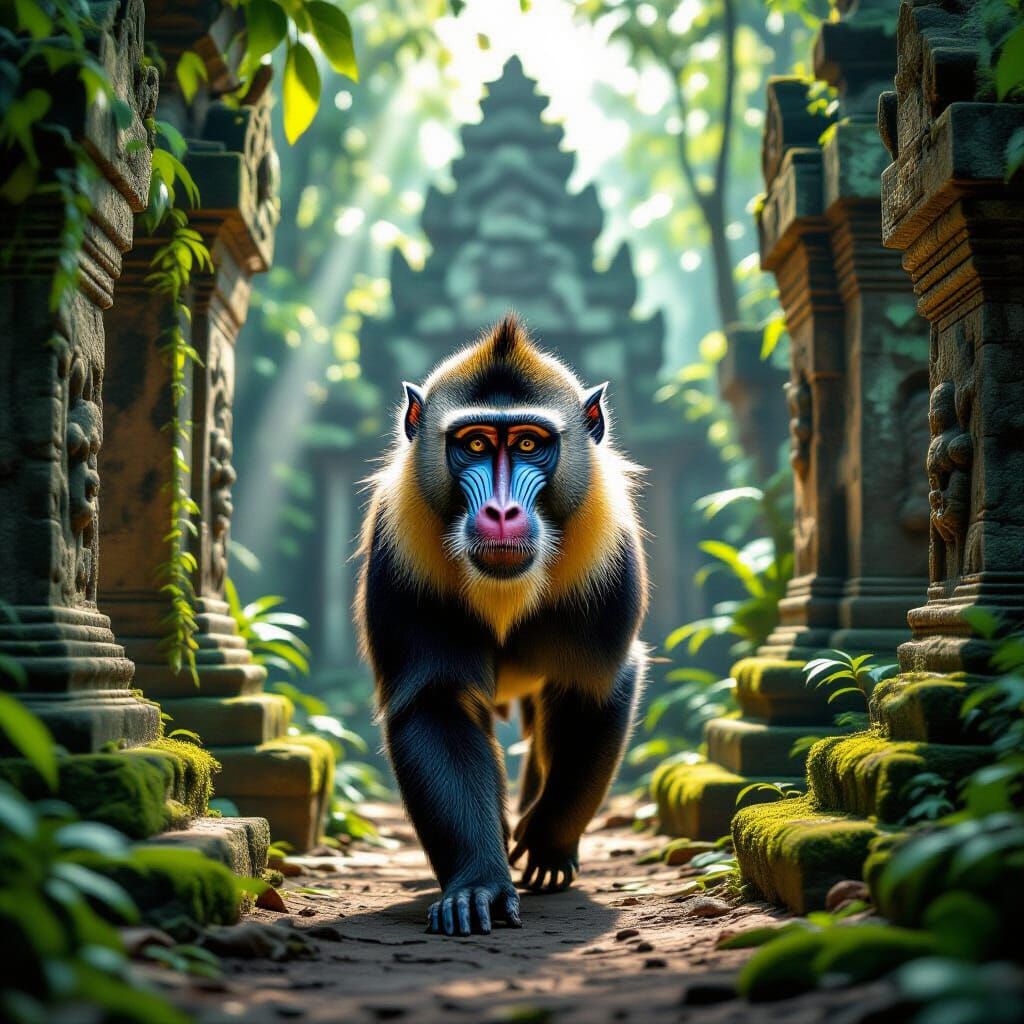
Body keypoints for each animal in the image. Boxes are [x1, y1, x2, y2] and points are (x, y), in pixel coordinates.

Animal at [355, 313, 648, 937]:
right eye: (474, 444)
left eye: (531, 443)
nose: (502, 512)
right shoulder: (404, 553)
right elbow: (437, 701)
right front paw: (479, 885)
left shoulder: (605, 561)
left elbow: (594, 690)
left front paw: (546, 844)